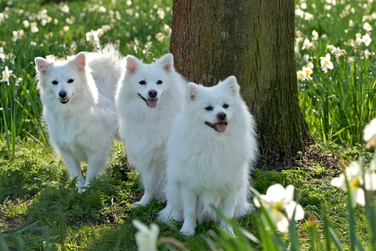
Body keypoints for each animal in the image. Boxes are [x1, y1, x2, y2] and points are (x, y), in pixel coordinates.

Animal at [34, 44, 124, 191]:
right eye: (54, 82)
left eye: (70, 81)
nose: (62, 94)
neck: (70, 111)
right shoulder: (67, 151)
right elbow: (77, 174)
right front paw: (79, 191)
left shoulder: (96, 149)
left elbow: (90, 174)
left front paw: (87, 191)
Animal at [114, 53, 185, 208]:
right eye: (142, 82)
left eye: (159, 82)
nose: (152, 92)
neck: (152, 117)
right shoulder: (146, 157)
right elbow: (149, 184)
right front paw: (144, 202)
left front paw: (170, 207)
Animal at [156, 76, 258, 235]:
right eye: (208, 108)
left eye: (225, 106)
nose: (221, 114)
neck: (215, 142)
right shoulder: (189, 186)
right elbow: (190, 212)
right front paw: (187, 231)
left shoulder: (231, 187)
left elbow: (228, 213)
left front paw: (228, 232)